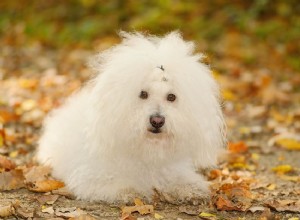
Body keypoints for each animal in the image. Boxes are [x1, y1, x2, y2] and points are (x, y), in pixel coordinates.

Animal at [36, 31, 225, 204]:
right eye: (143, 94)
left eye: (171, 97)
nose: (157, 121)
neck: (146, 149)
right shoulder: (91, 175)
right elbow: (116, 183)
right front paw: (130, 190)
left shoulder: (172, 169)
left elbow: (181, 178)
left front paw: (190, 188)